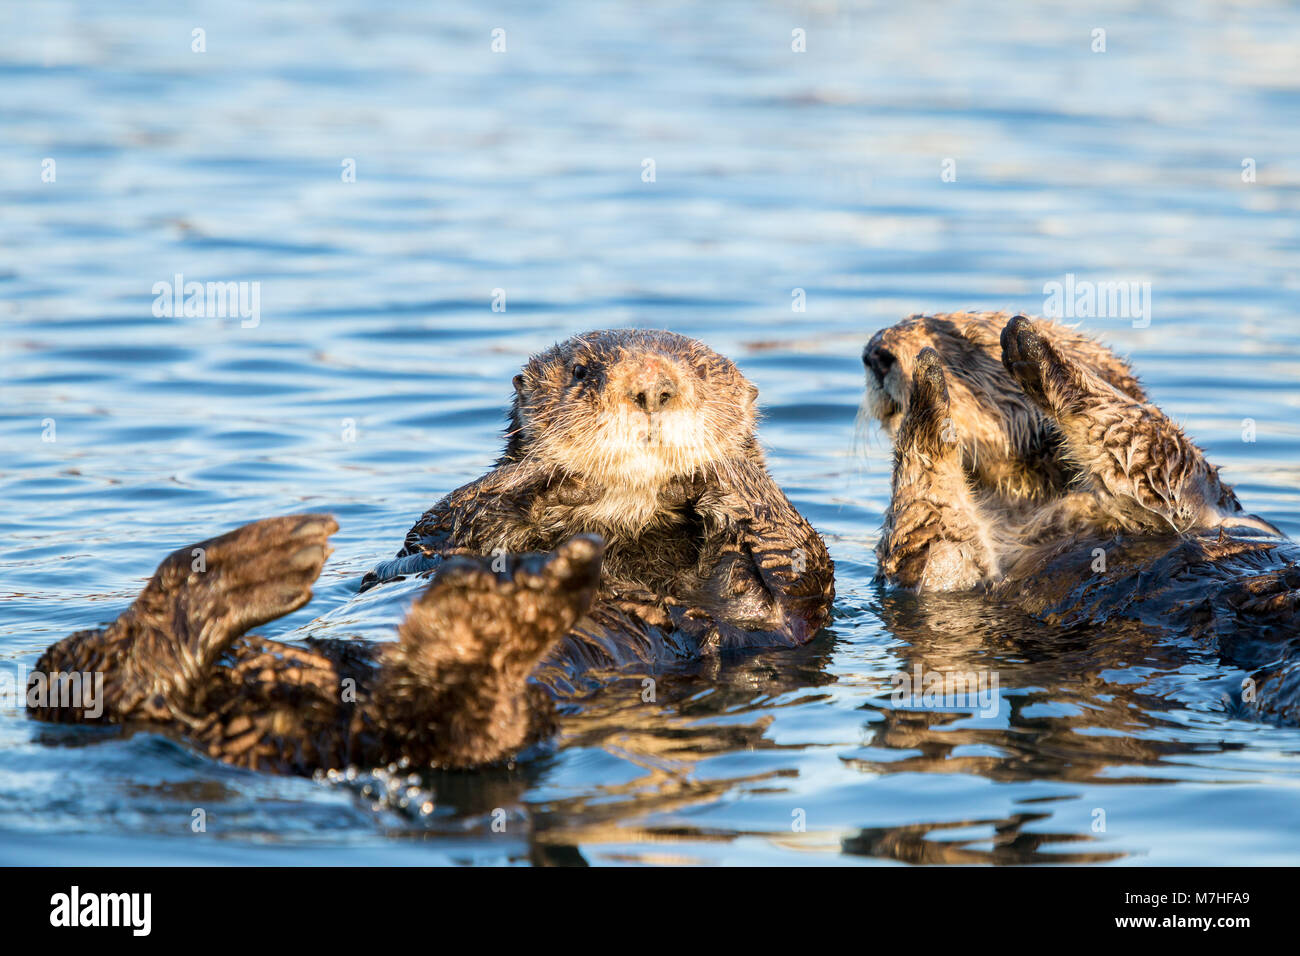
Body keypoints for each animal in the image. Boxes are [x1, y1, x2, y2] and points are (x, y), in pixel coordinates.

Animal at [362, 328, 835, 681]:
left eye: (701, 371)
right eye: (579, 370)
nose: (651, 387)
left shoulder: (784, 621)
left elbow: (799, 564)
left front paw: (718, 470)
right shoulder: (431, 538)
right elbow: (447, 528)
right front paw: (560, 480)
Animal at [862, 311, 1300, 723]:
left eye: (965, 341)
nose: (875, 353)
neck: (1029, 504)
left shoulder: (1195, 496)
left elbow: (1155, 446)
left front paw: (1029, 343)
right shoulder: (952, 569)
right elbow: (934, 538)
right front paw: (926, 394)